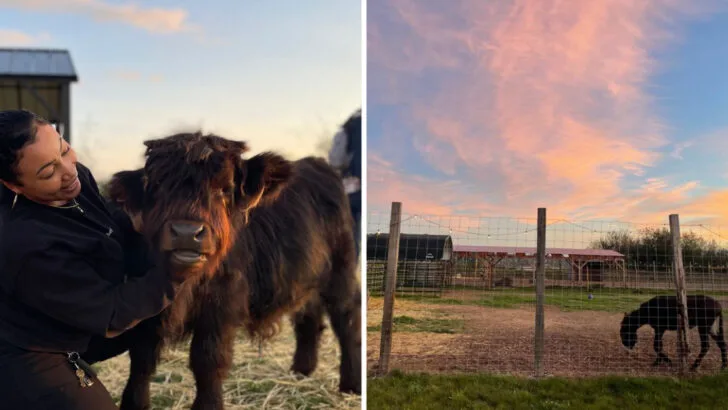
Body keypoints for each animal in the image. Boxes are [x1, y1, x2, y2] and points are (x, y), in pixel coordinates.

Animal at [92, 131, 361, 410]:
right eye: (157, 186)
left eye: (224, 189)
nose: (187, 233)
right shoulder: (145, 305)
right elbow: (141, 359)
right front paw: (134, 403)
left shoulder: (221, 305)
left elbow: (208, 360)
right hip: (305, 278)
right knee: (309, 318)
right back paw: (301, 371)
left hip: (340, 272)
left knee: (347, 319)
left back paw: (351, 384)